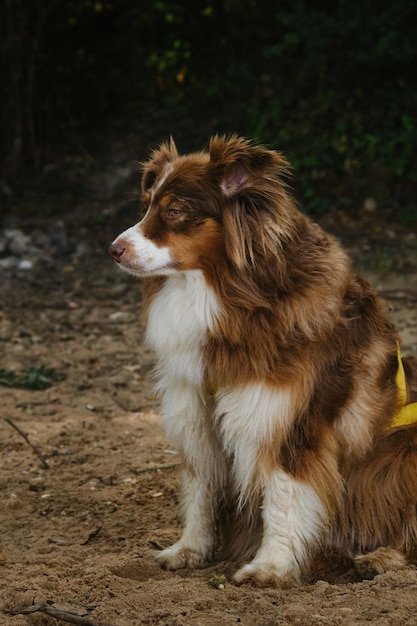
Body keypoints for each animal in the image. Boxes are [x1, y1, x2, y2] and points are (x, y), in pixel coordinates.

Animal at [109, 133, 416, 584]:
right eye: (146, 204)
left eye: (175, 210)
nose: (113, 249)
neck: (228, 298)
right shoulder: (194, 411)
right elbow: (200, 489)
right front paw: (190, 549)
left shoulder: (287, 419)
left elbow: (282, 496)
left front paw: (270, 566)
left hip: (401, 452)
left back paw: (383, 557)